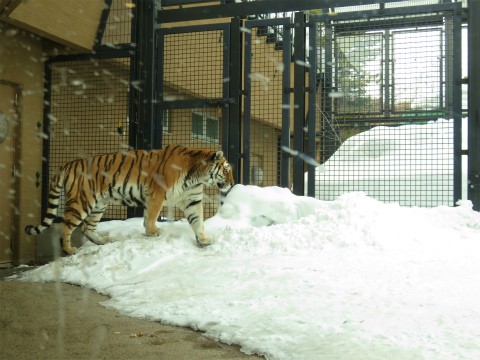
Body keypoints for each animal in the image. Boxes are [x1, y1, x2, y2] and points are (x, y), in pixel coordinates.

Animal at [25, 145, 235, 255]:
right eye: (226, 170)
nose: (233, 183)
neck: (196, 176)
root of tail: (67, 164)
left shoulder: (192, 200)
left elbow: (197, 221)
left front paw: (203, 239)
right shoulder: (157, 193)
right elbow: (152, 215)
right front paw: (153, 232)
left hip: (99, 204)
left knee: (86, 227)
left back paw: (103, 241)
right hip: (82, 201)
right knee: (66, 226)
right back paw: (70, 249)